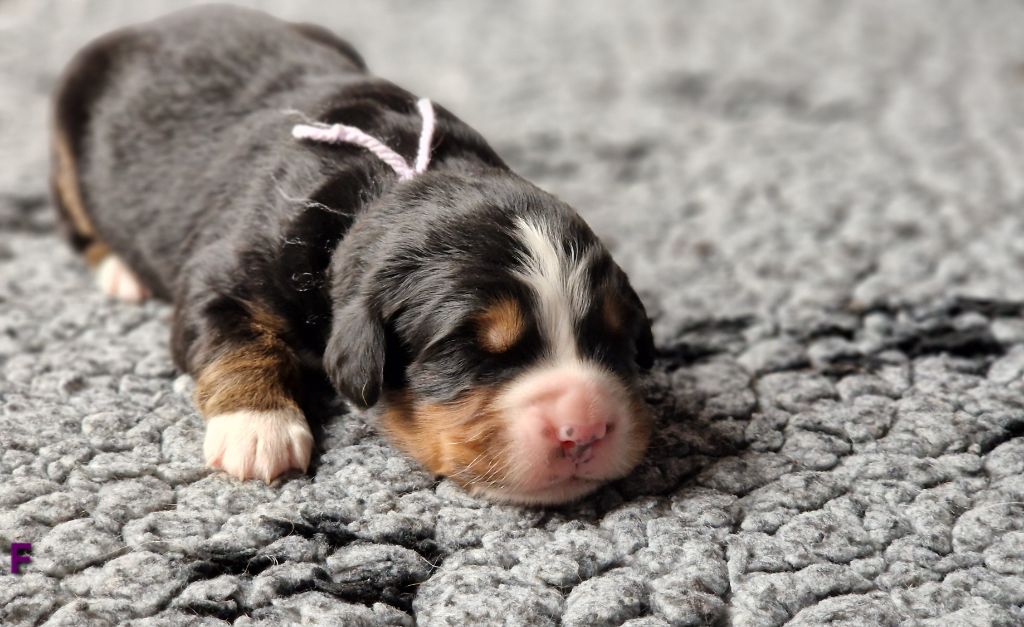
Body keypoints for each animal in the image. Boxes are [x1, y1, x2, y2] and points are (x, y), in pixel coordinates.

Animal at [49, 4, 655, 504]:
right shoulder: (222, 274)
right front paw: (258, 429)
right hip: (67, 134)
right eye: (468, 350)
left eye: (613, 336)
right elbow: (233, 336)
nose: (585, 429)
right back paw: (120, 271)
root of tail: (154, 23)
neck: (400, 176)